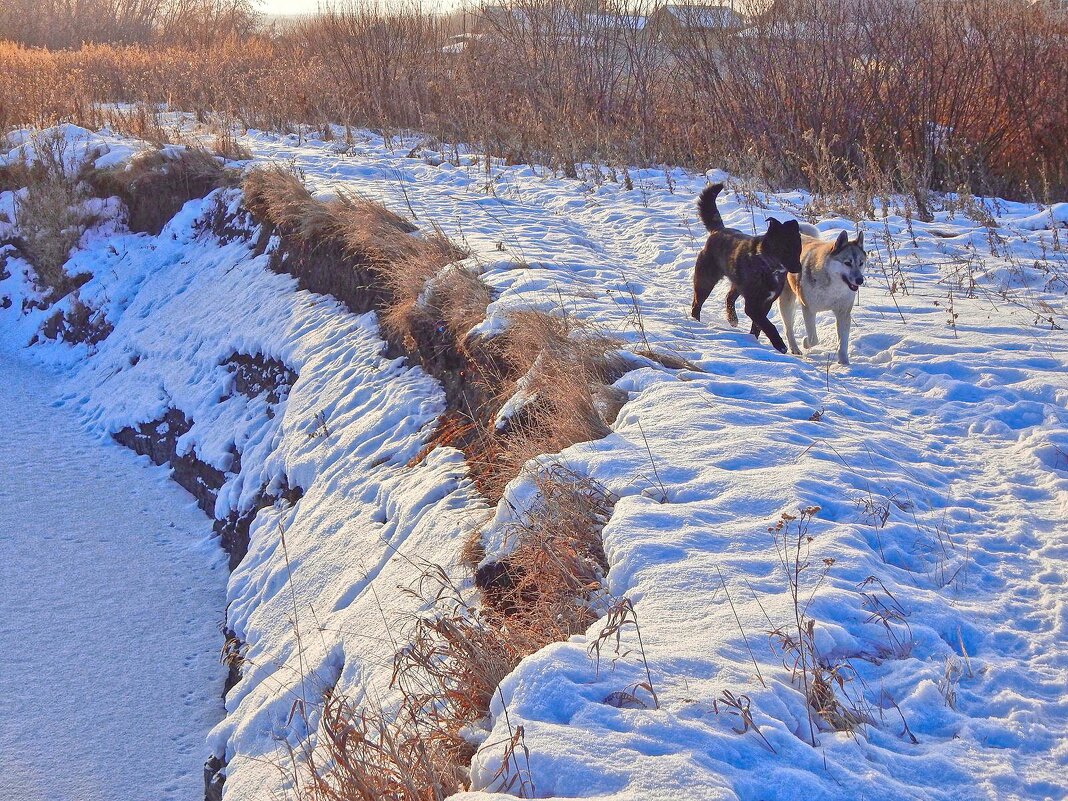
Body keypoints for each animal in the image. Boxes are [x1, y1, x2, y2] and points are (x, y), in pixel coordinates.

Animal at [692, 186, 803, 356]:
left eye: (798, 247)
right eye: (785, 247)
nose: (798, 268)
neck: (768, 266)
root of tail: (718, 230)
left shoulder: (766, 302)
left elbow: (758, 325)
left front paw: (754, 341)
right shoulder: (752, 305)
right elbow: (768, 325)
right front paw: (780, 345)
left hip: (736, 283)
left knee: (729, 297)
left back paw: (732, 319)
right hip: (705, 281)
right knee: (697, 304)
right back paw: (695, 322)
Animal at [777, 224, 867, 365]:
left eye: (861, 263)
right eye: (847, 263)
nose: (860, 280)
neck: (833, 287)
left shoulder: (843, 313)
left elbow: (843, 343)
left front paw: (844, 363)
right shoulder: (808, 309)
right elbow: (813, 339)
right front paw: (805, 342)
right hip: (787, 300)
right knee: (788, 328)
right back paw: (795, 348)